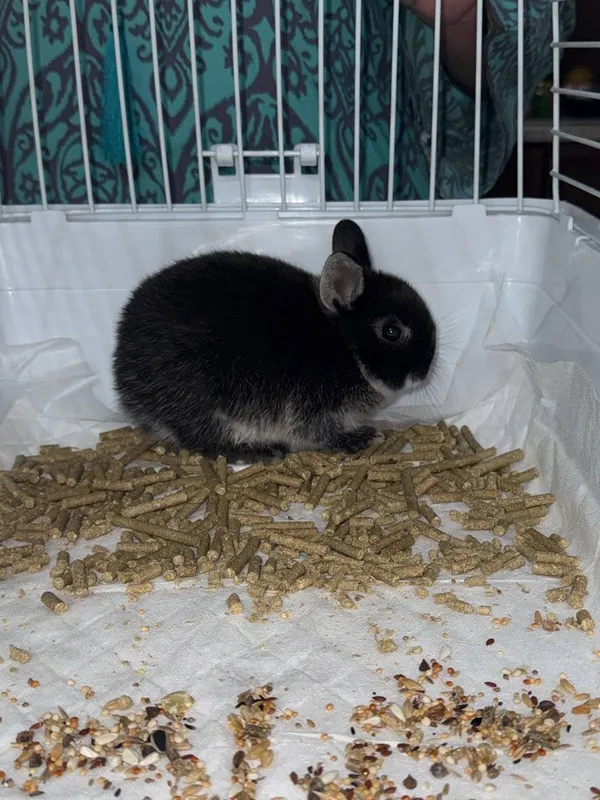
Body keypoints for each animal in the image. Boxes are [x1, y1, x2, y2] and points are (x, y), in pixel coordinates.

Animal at [113, 219, 436, 460]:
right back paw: (263, 451)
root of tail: (123, 373)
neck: (345, 344)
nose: (424, 372)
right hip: (203, 404)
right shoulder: (311, 407)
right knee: (205, 442)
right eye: (391, 332)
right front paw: (361, 438)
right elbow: (320, 433)